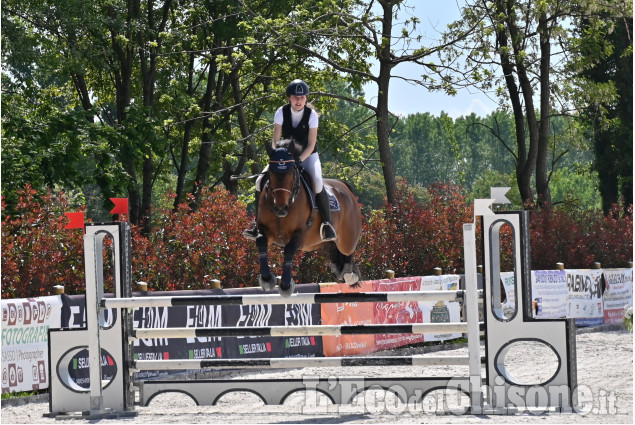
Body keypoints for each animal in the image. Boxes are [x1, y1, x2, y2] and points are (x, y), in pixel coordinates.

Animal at [255, 138, 362, 294]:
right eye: (271, 173)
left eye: (291, 172)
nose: (281, 208)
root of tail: (345, 187)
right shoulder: (266, 231)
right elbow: (261, 242)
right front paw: (267, 279)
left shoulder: (299, 235)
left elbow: (289, 250)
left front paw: (285, 285)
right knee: (335, 252)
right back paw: (338, 270)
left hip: (347, 239)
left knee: (347, 250)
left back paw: (349, 274)